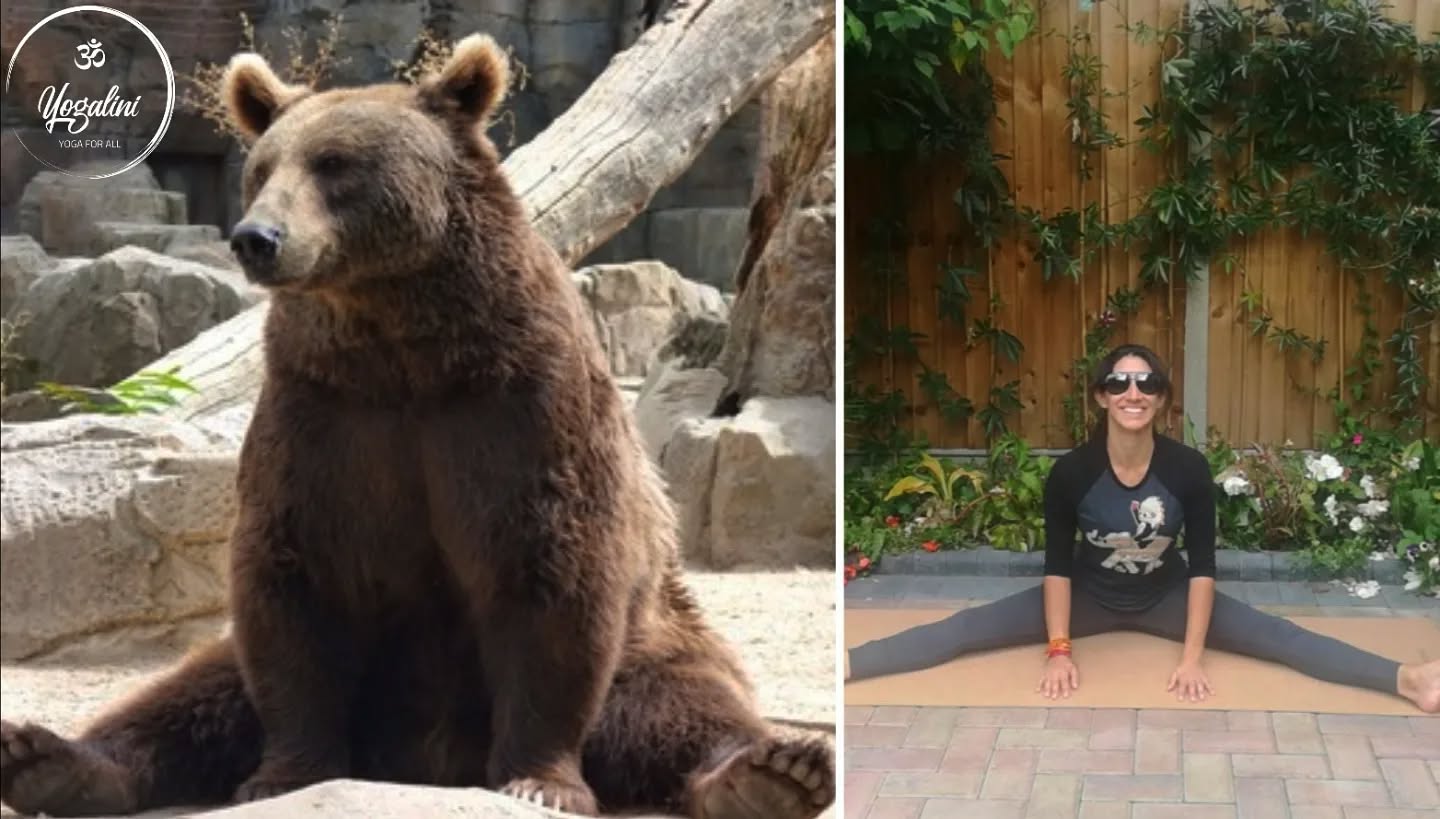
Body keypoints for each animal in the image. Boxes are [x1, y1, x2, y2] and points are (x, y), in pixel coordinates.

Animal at [0, 33, 834, 819]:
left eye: (335, 164)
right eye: (263, 168)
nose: (256, 238)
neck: (401, 346)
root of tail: (424, 760)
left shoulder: (518, 409)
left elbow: (552, 571)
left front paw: (539, 780)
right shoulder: (325, 417)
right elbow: (291, 583)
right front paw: (284, 772)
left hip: (657, 635)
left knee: (686, 706)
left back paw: (774, 770)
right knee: (188, 693)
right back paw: (47, 755)